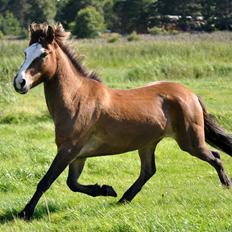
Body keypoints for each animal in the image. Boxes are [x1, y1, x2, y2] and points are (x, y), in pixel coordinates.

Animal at [13, 23, 232, 219]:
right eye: (25, 53)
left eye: (43, 54)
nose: (19, 82)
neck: (76, 98)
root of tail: (191, 94)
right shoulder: (77, 155)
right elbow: (72, 184)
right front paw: (106, 189)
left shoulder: (68, 149)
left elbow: (46, 181)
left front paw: (25, 212)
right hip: (148, 143)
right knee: (148, 171)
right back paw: (123, 199)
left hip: (190, 141)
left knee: (215, 156)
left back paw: (226, 185)